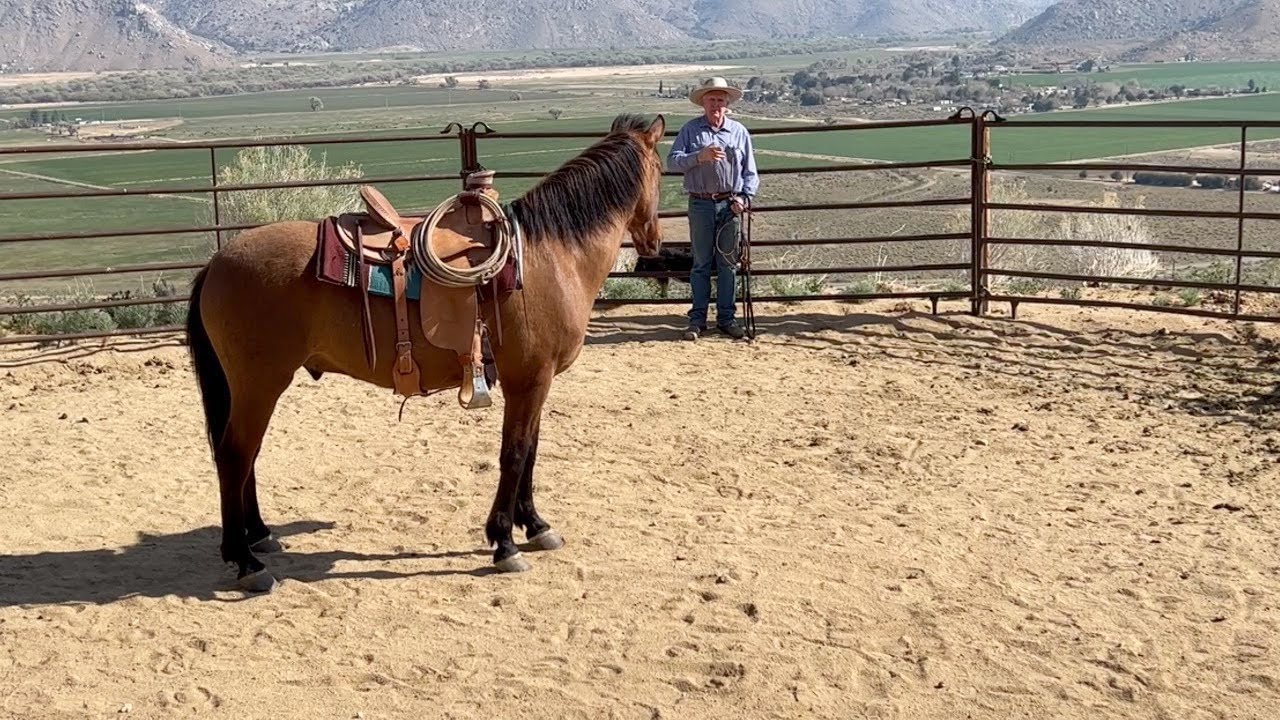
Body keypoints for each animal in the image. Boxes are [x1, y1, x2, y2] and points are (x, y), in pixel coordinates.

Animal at [185, 113, 667, 592]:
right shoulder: (529, 380)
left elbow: (529, 450)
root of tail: (216, 263)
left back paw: (260, 535)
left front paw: (535, 526)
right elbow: (514, 454)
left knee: (246, 456)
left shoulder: (533, 382)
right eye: (662, 170)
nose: (655, 243)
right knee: (235, 456)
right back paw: (246, 561)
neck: (549, 257)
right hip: (258, 384)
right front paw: (504, 543)